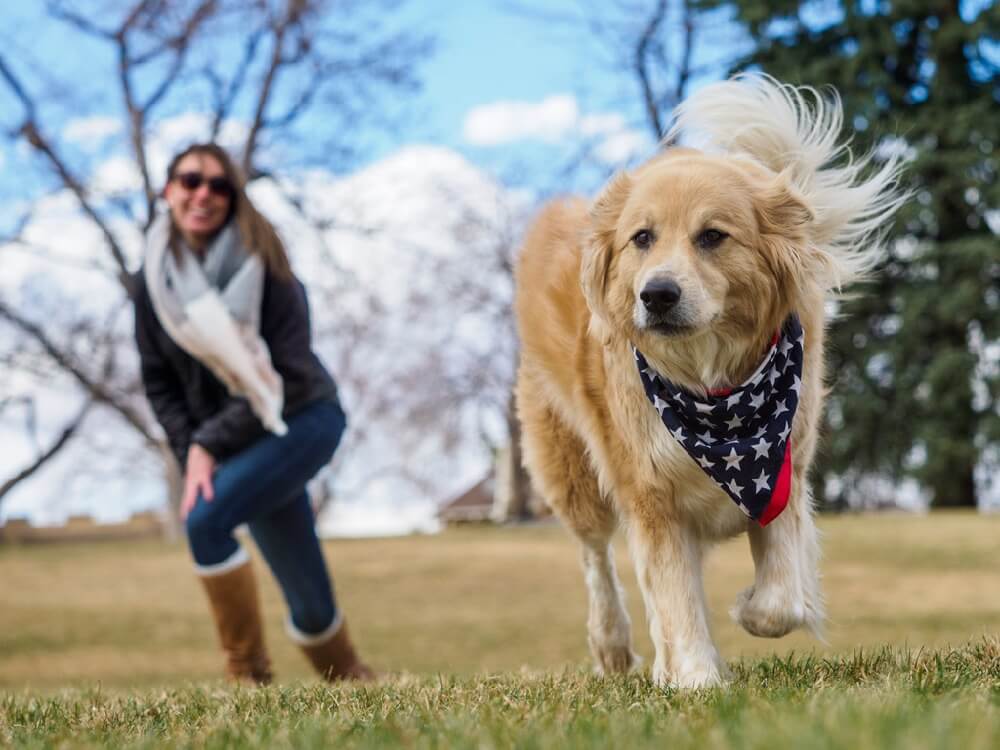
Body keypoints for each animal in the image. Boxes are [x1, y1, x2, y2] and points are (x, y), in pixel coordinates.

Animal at [516, 75, 908, 688]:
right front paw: (699, 680)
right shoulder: (650, 491)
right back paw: (615, 647)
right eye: (642, 238)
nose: (656, 294)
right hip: (569, 467)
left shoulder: (782, 471)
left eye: (713, 236)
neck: (711, 387)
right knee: (596, 556)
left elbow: (780, 598)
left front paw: (749, 609)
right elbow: (675, 596)